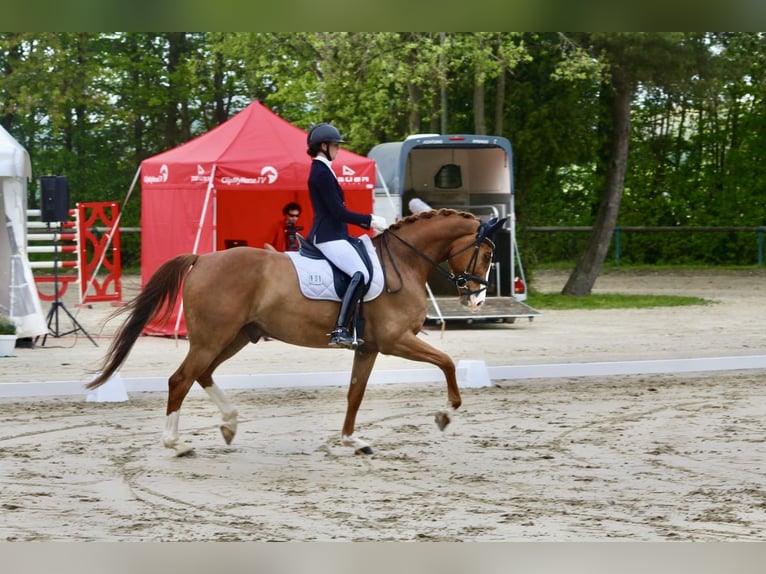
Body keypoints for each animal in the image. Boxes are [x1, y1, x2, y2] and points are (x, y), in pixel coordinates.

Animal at [87, 209, 508, 456]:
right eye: (487, 254)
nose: (477, 300)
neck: (403, 263)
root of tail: (202, 258)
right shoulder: (395, 341)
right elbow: (447, 362)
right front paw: (445, 414)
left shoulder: (369, 348)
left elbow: (355, 393)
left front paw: (352, 440)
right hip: (213, 337)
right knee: (181, 379)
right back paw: (175, 444)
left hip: (236, 335)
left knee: (201, 374)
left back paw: (229, 424)